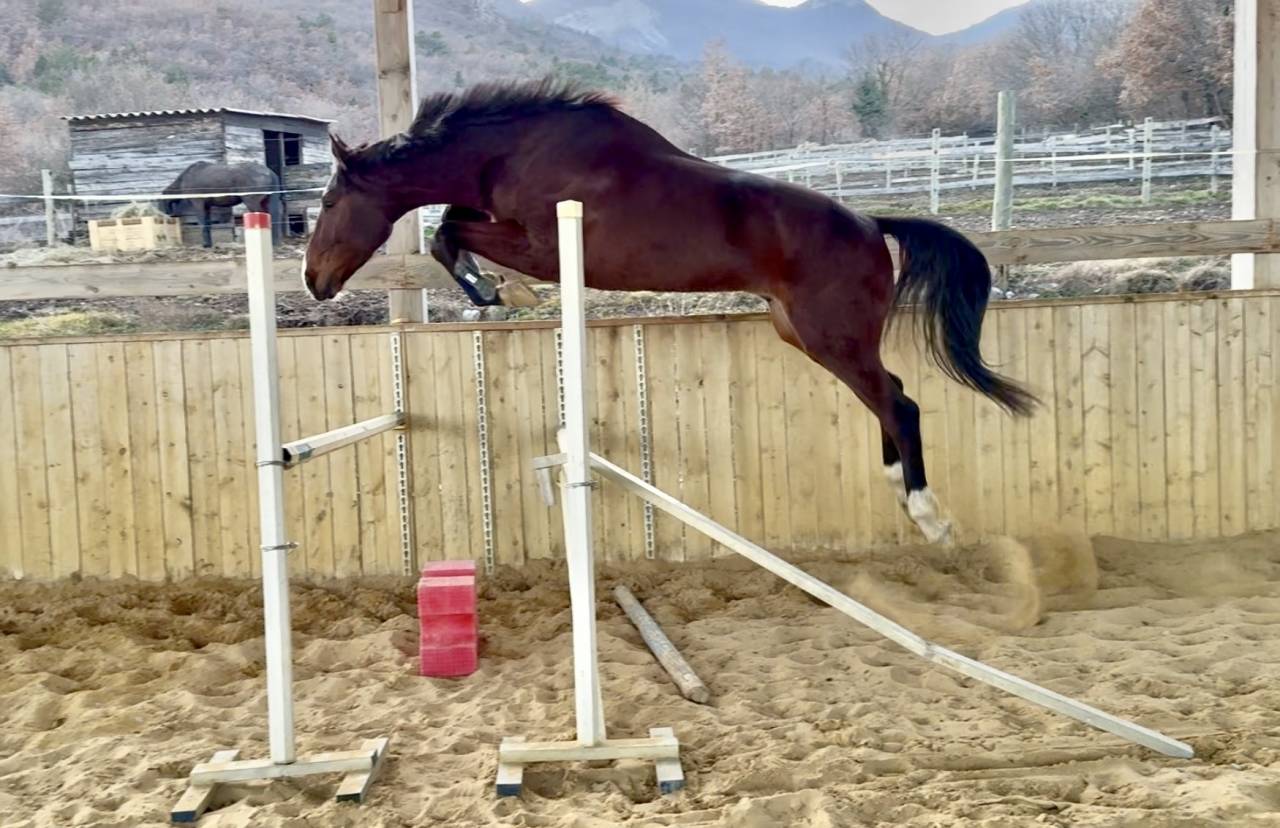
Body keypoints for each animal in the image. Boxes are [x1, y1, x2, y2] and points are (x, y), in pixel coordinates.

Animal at [301, 79, 1039, 545]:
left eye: (331, 202)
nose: (313, 281)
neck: (515, 152)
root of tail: (869, 222)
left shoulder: (543, 244)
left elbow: (450, 232)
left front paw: (504, 293)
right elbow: (451, 226)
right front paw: (497, 293)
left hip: (833, 338)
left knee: (899, 402)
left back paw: (928, 515)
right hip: (804, 335)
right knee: (891, 396)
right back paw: (898, 486)